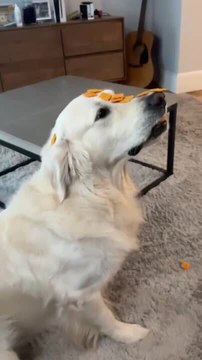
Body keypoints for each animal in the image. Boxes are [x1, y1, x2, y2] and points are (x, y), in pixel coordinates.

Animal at [0, 88, 166, 358]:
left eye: (113, 96)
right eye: (102, 113)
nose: (159, 97)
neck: (92, 193)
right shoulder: (80, 293)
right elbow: (106, 319)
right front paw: (130, 334)